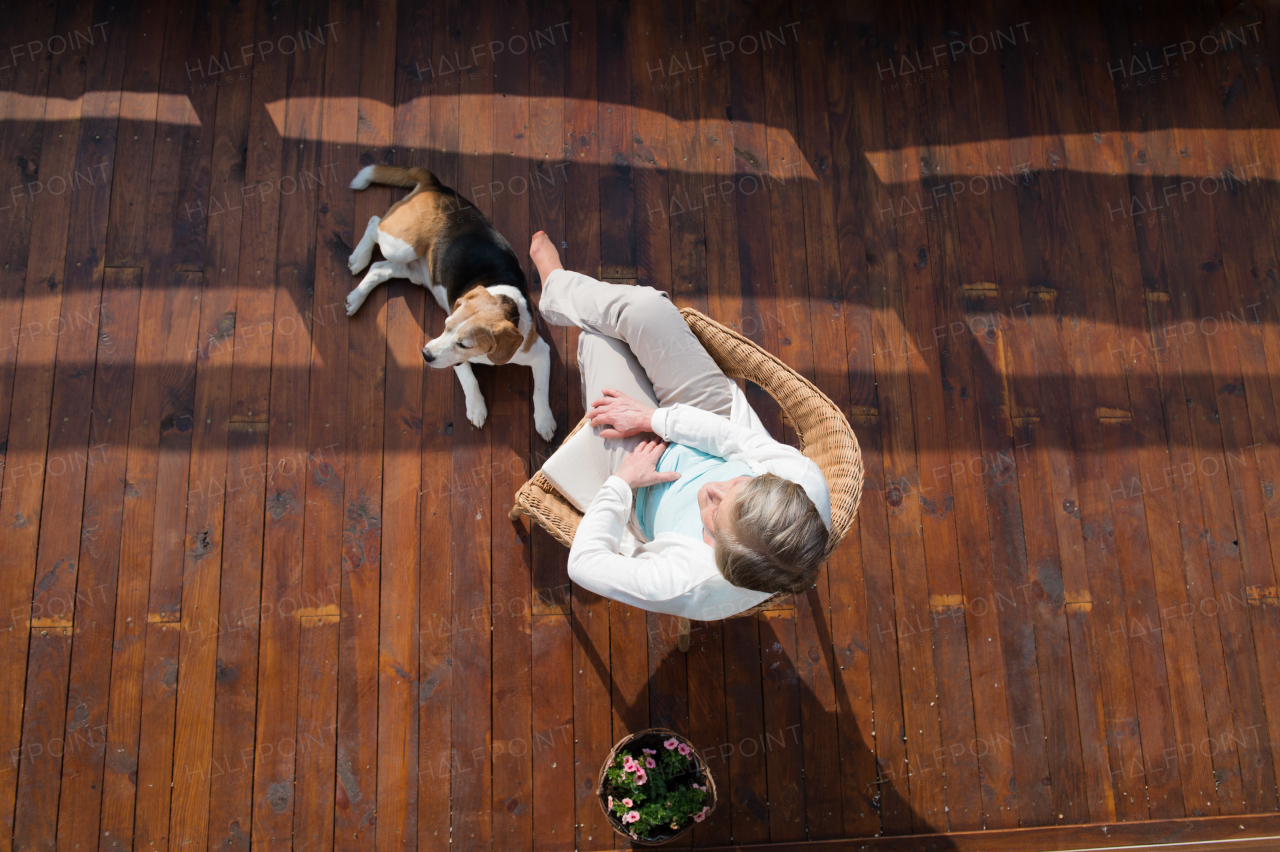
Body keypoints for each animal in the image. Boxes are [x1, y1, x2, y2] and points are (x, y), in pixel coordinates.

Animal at [345, 167, 555, 445]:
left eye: (464, 343)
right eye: (445, 325)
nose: (425, 355)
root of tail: (435, 185)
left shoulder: (540, 351)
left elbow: (541, 390)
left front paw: (544, 421)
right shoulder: (452, 358)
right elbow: (469, 379)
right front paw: (476, 408)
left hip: (413, 270)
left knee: (379, 268)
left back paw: (356, 295)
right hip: (400, 246)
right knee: (373, 223)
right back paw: (359, 258)